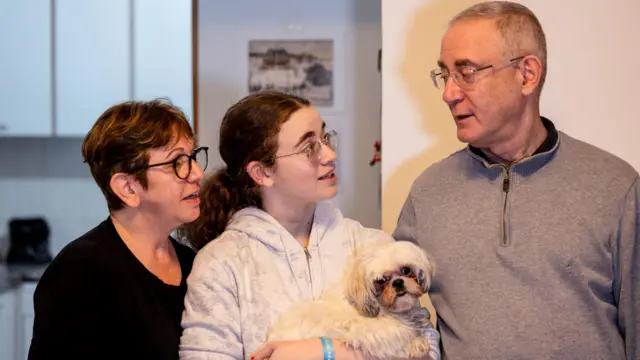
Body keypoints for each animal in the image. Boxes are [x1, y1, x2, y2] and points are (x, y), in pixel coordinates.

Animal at [264, 239, 436, 360]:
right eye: (381, 280)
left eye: (406, 270)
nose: (398, 282)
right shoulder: (369, 331)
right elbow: (399, 335)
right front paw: (416, 343)